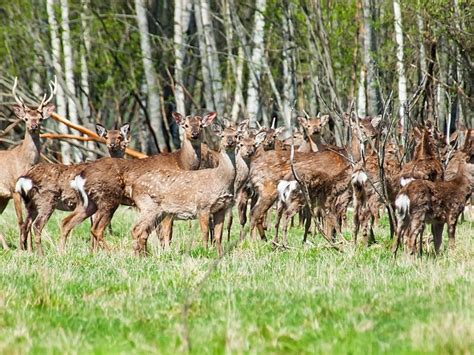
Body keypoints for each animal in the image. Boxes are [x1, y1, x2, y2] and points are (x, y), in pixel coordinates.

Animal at [0, 78, 56, 250]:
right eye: (25, 118)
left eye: (40, 118)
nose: (33, 126)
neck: (25, 162)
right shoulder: (14, 189)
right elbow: (20, 221)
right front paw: (21, 248)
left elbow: (29, 222)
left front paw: (30, 249)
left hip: (2, 198)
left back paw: (6, 247)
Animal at [16, 124, 132, 254]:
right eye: (106, 136)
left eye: (120, 136)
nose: (112, 145)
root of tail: (26, 178)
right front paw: (95, 252)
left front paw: (93, 252)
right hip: (47, 200)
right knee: (37, 225)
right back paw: (42, 253)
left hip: (30, 205)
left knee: (25, 225)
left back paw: (25, 251)